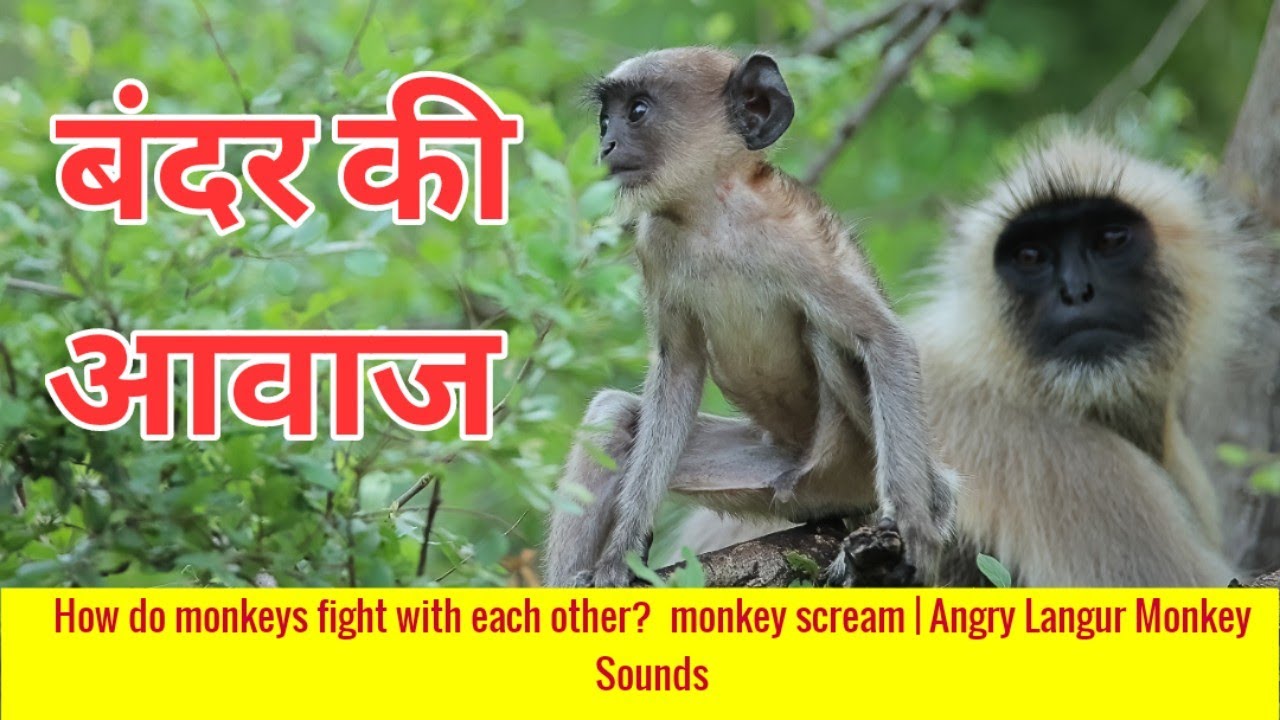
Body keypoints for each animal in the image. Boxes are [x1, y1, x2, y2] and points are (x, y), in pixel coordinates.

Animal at [544, 47, 958, 588]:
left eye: (637, 111)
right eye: (604, 118)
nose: (607, 143)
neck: (712, 217)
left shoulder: (795, 238)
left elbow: (885, 340)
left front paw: (912, 529)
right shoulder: (655, 245)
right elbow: (677, 372)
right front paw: (621, 555)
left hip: (850, 460)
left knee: (827, 338)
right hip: (764, 475)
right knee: (614, 414)